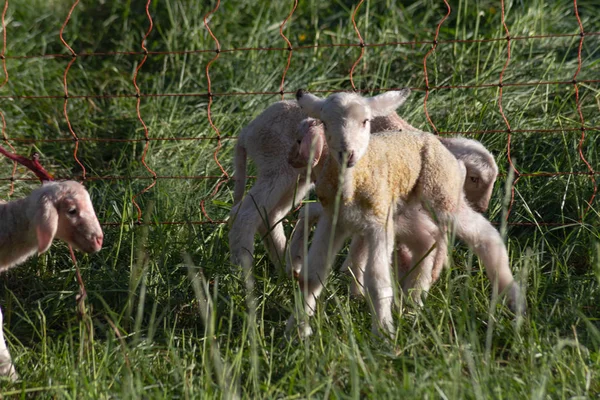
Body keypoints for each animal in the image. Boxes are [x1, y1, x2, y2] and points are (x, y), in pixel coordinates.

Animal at [288, 88, 524, 338]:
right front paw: (298, 330)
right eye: (324, 122)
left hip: (442, 194)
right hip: (405, 209)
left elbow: (378, 281)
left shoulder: (378, 223)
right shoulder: (333, 220)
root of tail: (432, 138)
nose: (347, 153)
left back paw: (512, 298)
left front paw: (383, 333)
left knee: (485, 235)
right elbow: (312, 275)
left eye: (365, 121)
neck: (352, 184)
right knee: (427, 238)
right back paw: (413, 301)